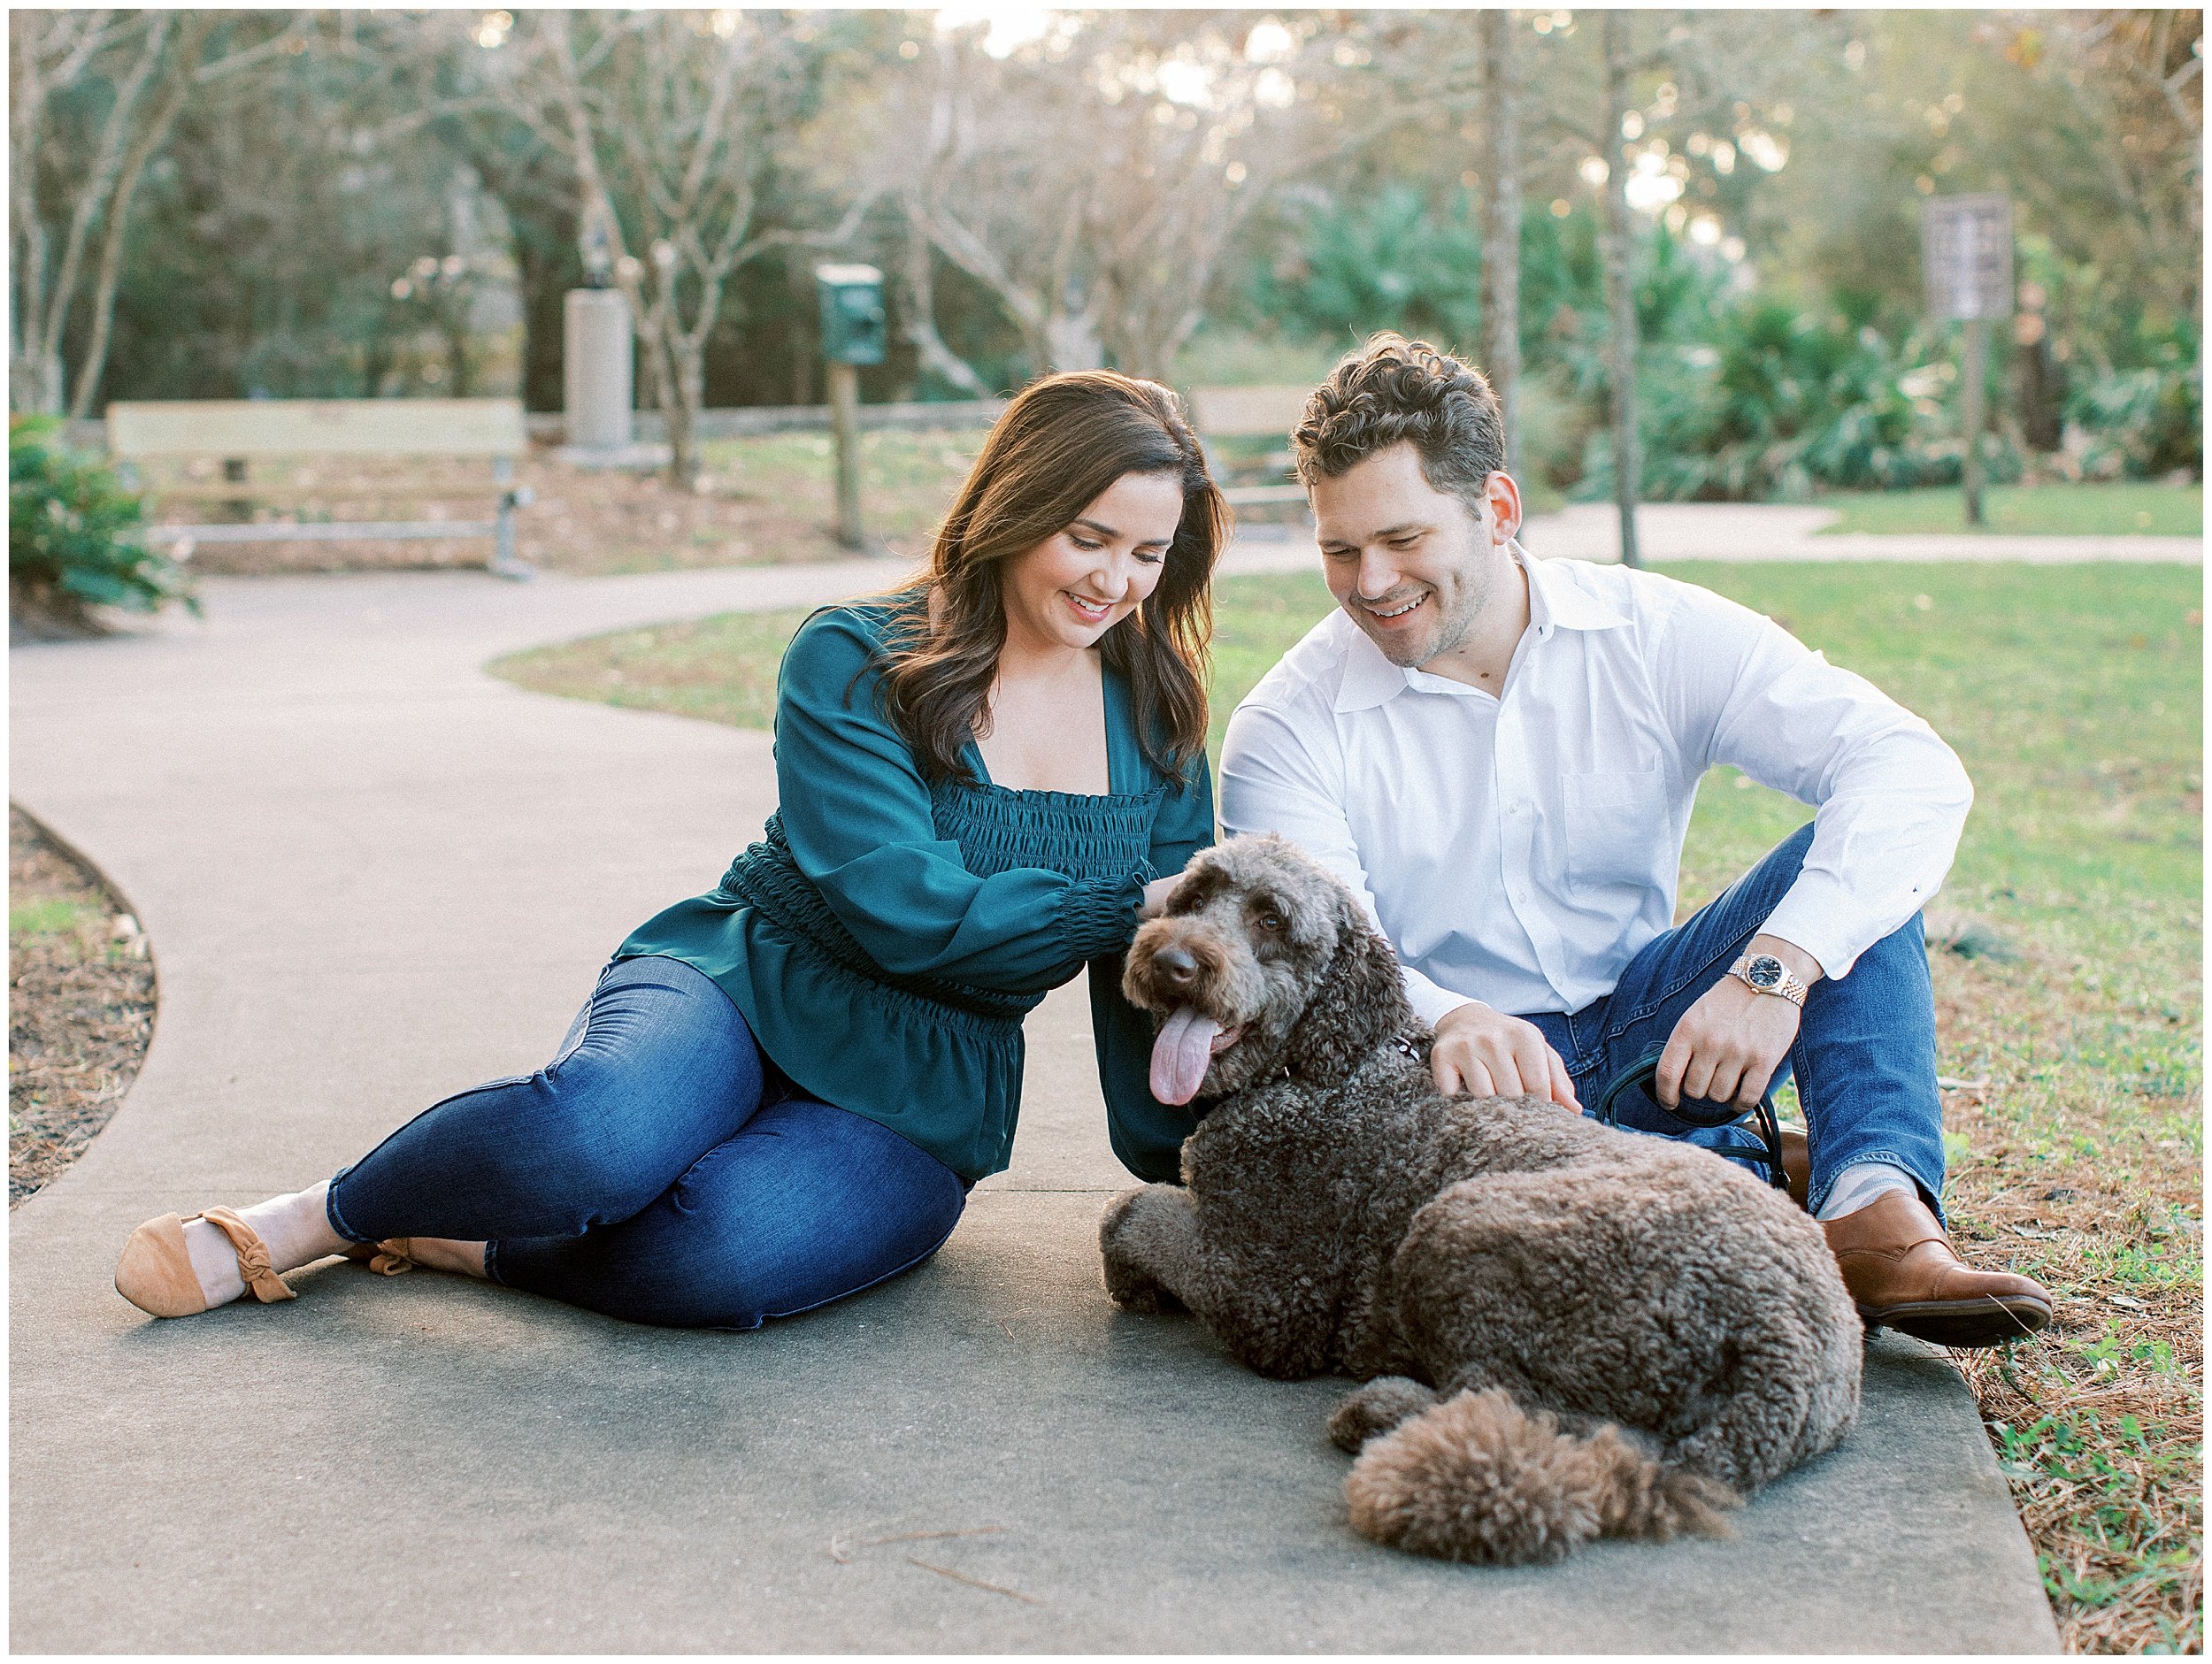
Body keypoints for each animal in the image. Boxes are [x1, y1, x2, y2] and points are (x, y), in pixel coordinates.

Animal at [1106, 836, 1867, 1566]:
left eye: (1271, 920)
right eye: (1196, 896)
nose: (1172, 961)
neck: (1326, 1066)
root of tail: (1788, 1338)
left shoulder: (1266, 1295)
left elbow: (1129, 1213)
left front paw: (1133, 1277)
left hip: (1456, 1223)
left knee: (1508, 1400)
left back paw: (1384, 1407)